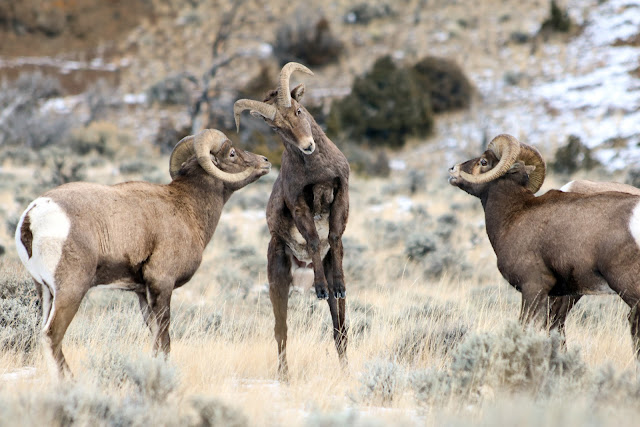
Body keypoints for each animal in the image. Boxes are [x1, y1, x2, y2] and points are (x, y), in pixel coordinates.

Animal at [15, 129, 270, 376]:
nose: (266, 162)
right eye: (232, 154)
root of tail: (32, 217)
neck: (187, 208)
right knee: (52, 335)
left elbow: (156, 336)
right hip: (71, 290)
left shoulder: (142, 293)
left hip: (45, 292)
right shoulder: (161, 284)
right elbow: (164, 337)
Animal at [234, 61, 348, 376]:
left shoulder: (341, 191)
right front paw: (320, 289)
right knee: (281, 330)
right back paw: (284, 377)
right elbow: (313, 238)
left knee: (340, 330)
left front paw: (335, 286)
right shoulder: (299, 205)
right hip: (278, 282)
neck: (316, 170)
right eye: (277, 127)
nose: (307, 146)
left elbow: (333, 236)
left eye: (298, 110)